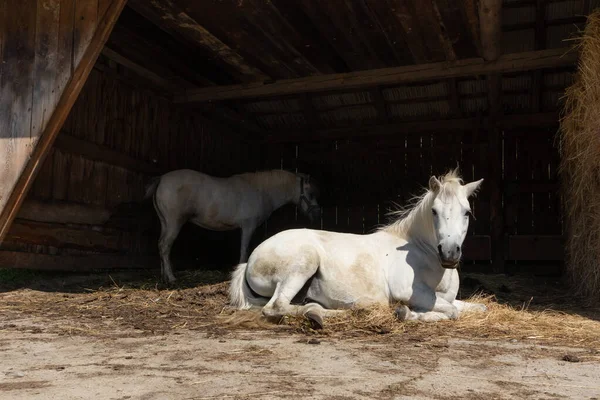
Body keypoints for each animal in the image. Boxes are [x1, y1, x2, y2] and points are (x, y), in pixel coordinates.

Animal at [145, 169, 322, 284]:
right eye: (311, 193)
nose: (317, 214)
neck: (260, 190)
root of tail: (161, 178)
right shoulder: (248, 227)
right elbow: (244, 250)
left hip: (165, 223)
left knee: (161, 246)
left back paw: (164, 276)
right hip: (174, 222)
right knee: (165, 246)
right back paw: (171, 278)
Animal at [230, 170, 488, 326]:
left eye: (467, 212)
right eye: (434, 211)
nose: (449, 253)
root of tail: (250, 260)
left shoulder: (447, 298)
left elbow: (478, 307)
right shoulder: (409, 293)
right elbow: (451, 312)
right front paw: (404, 312)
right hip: (303, 264)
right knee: (276, 307)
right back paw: (334, 313)